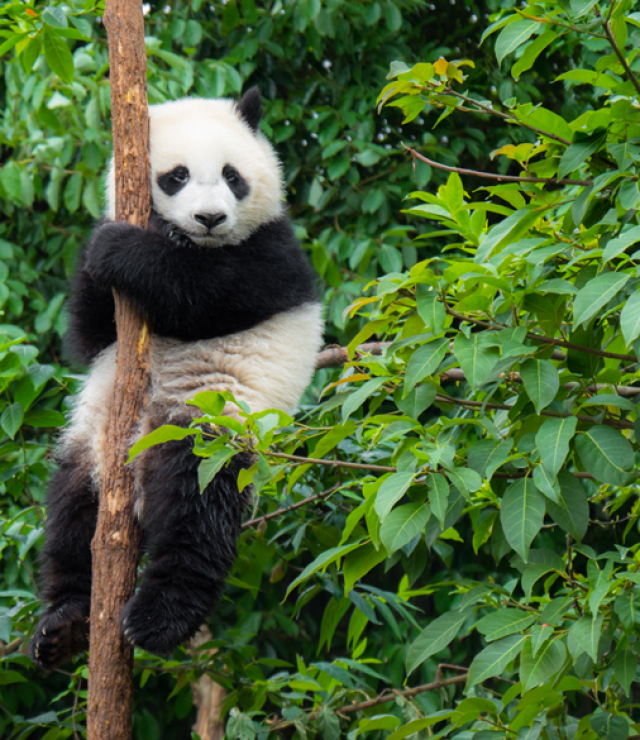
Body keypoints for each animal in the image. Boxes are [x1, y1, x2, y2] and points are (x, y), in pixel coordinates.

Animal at [30, 87, 324, 669]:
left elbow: (204, 295)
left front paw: (120, 250)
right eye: (176, 176)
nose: (209, 217)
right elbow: (87, 335)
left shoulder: (273, 254)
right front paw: (104, 245)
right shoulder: (101, 336)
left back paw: (158, 619)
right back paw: (66, 623)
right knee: (72, 514)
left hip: (211, 424)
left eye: (232, 175)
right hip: (93, 443)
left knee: (197, 508)